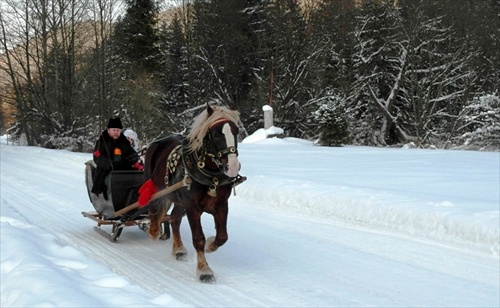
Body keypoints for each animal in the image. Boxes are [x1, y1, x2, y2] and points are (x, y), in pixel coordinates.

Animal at [141, 104, 244, 282]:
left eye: (236, 131)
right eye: (215, 134)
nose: (232, 167)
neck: (210, 177)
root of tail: (157, 142)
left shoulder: (221, 205)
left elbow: (222, 236)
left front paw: (211, 245)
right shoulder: (192, 207)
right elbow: (198, 239)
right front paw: (204, 270)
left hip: (178, 200)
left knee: (174, 219)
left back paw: (178, 249)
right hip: (155, 185)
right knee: (154, 207)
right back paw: (153, 230)